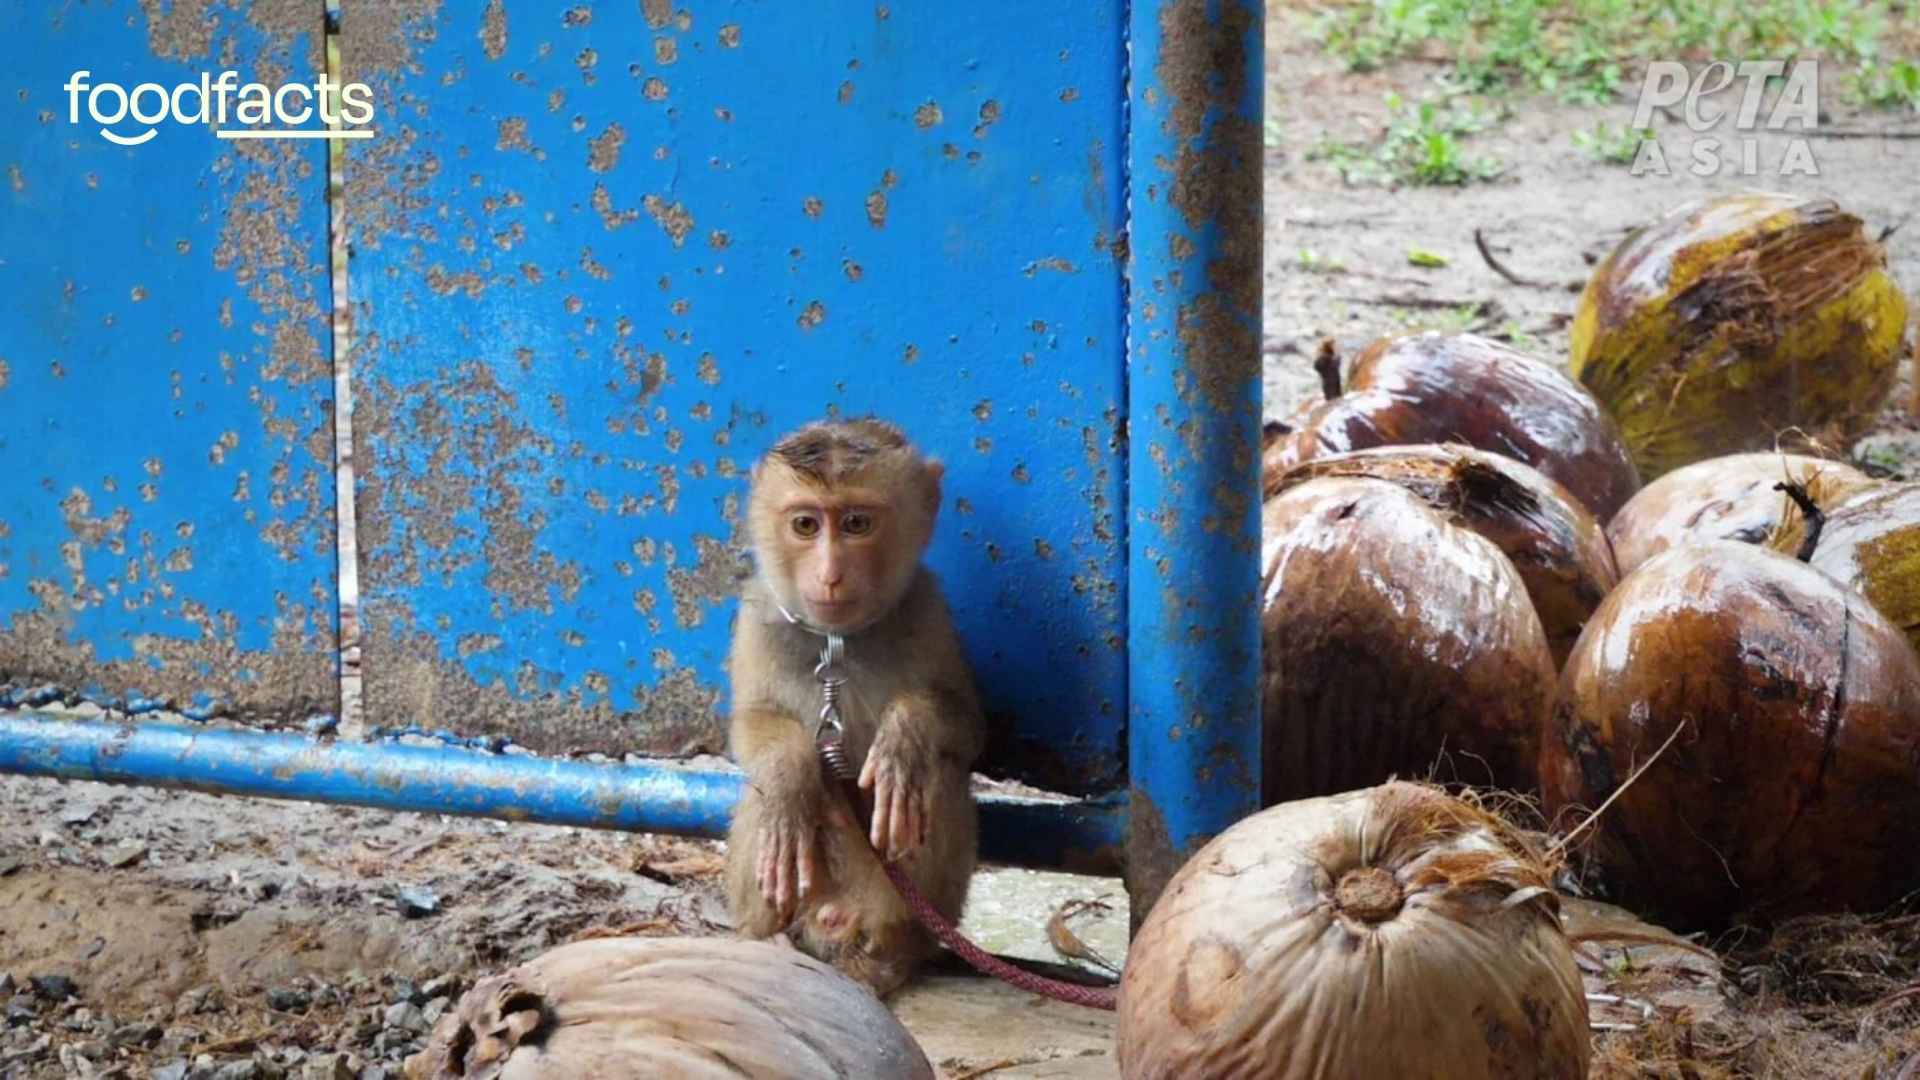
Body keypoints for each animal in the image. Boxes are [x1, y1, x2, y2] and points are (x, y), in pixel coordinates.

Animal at [722, 417, 985, 997]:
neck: (836, 643)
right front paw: (790, 773)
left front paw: (904, 737)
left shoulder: (926, 608)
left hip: (900, 904)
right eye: (805, 525)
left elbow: (965, 724)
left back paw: (891, 950)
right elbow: (752, 725)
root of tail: (832, 920)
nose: (830, 574)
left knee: (937, 779)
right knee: (764, 797)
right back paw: (766, 936)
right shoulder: (758, 616)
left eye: (857, 524)